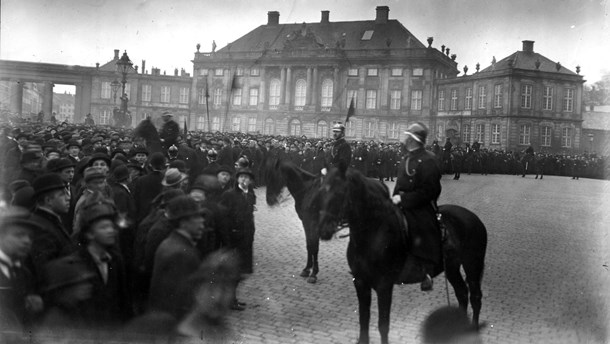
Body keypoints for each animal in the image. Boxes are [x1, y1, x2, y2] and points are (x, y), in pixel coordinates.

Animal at [316, 165, 486, 342]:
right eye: (321, 191)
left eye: (340, 192)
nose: (323, 230)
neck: (374, 231)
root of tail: (474, 217)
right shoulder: (360, 282)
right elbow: (363, 320)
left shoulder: (384, 285)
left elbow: (383, 325)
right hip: (452, 268)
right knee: (462, 293)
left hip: (472, 265)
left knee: (475, 297)